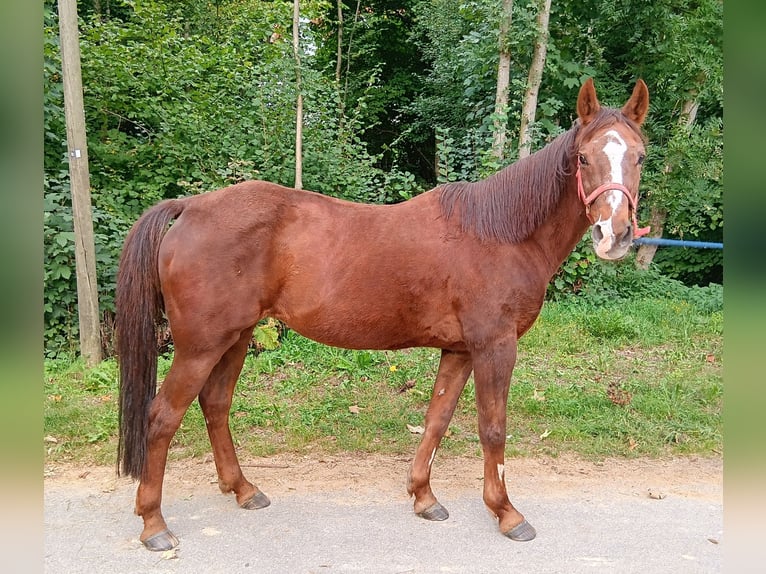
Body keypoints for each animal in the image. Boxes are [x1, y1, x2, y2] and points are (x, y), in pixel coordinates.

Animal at [117, 79, 652, 552]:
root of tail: (190, 207)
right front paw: (507, 513)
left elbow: (437, 419)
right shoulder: (494, 346)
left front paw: (424, 497)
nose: (615, 234)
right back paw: (154, 524)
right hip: (200, 346)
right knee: (162, 417)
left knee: (216, 405)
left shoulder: (459, 350)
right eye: (583, 157)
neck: (500, 233)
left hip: (237, 336)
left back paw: (244, 490)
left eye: (640, 156)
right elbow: (492, 428)